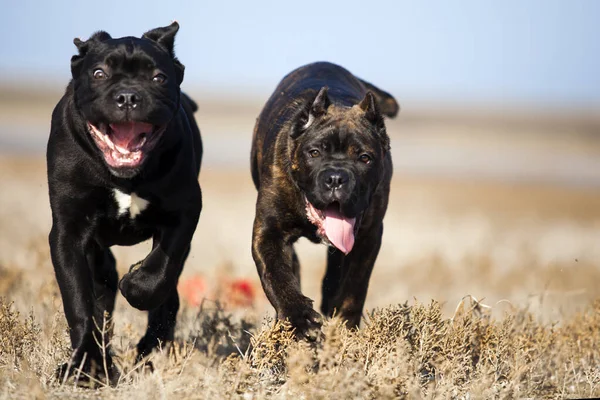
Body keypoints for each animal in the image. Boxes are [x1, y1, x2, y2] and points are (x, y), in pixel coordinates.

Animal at [47, 22, 202, 384]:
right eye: (99, 73)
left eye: (159, 77)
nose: (128, 96)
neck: (124, 178)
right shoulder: (68, 232)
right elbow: (79, 302)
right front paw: (85, 365)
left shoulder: (185, 210)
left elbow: (160, 272)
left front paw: (135, 284)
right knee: (102, 287)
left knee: (169, 296)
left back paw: (149, 349)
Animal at [250, 61, 398, 338]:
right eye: (314, 152)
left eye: (365, 158)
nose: (336, 178)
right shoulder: (269, 231)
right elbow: (276, 276)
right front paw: (300, 318)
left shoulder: (368, 236)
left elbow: (354, 286)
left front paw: (345, 326)